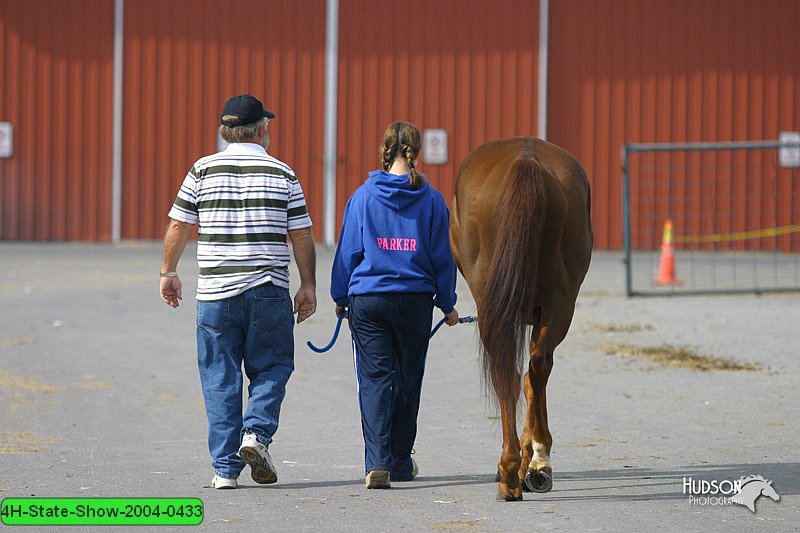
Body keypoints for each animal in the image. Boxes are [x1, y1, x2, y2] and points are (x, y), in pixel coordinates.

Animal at [450, 136, 592, 498]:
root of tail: (526, 159)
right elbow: (532, 378)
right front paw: (533, 461)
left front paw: (529, 460)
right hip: (559, 302)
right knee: (533, 367)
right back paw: (530, 463)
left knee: (511, 374)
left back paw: (513, 470)